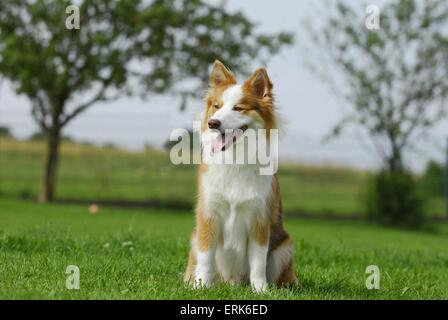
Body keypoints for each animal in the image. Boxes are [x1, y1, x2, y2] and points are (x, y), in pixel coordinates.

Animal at [184, 60, 296, 292]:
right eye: (216, 106)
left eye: (238, 108)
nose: (213, 123)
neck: (235, 159)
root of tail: (232, 281)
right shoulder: (208, 215)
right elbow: (206, 257)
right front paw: (201, 285)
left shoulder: (259, 219)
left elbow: (258, 261)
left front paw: (261, 290)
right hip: (194, 238)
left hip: (285, 246)